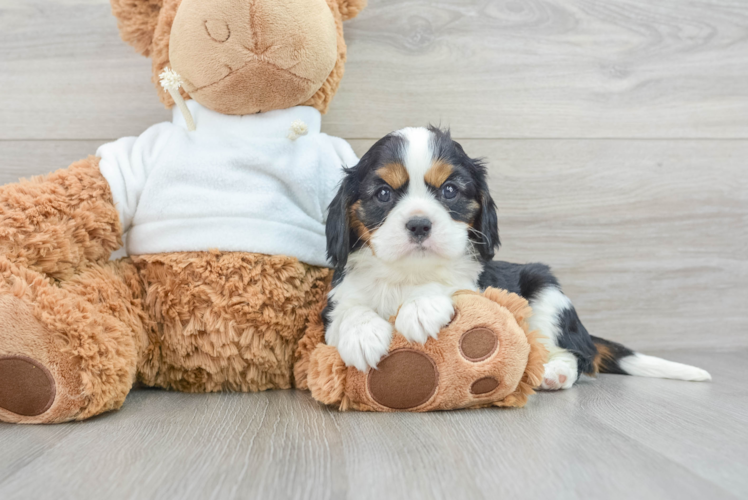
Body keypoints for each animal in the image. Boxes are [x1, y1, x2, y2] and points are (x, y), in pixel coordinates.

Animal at [324, 126, 712, 390]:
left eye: (450, 190)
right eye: (383, 194)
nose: (419, 224)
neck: (409, 274)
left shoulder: (477, 287)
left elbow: (452, 289)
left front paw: (421, 307)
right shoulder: (333, 308)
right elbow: (349, 310)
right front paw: (362, 334)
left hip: (548, 295)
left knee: (578, 356)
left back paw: (554, 372)